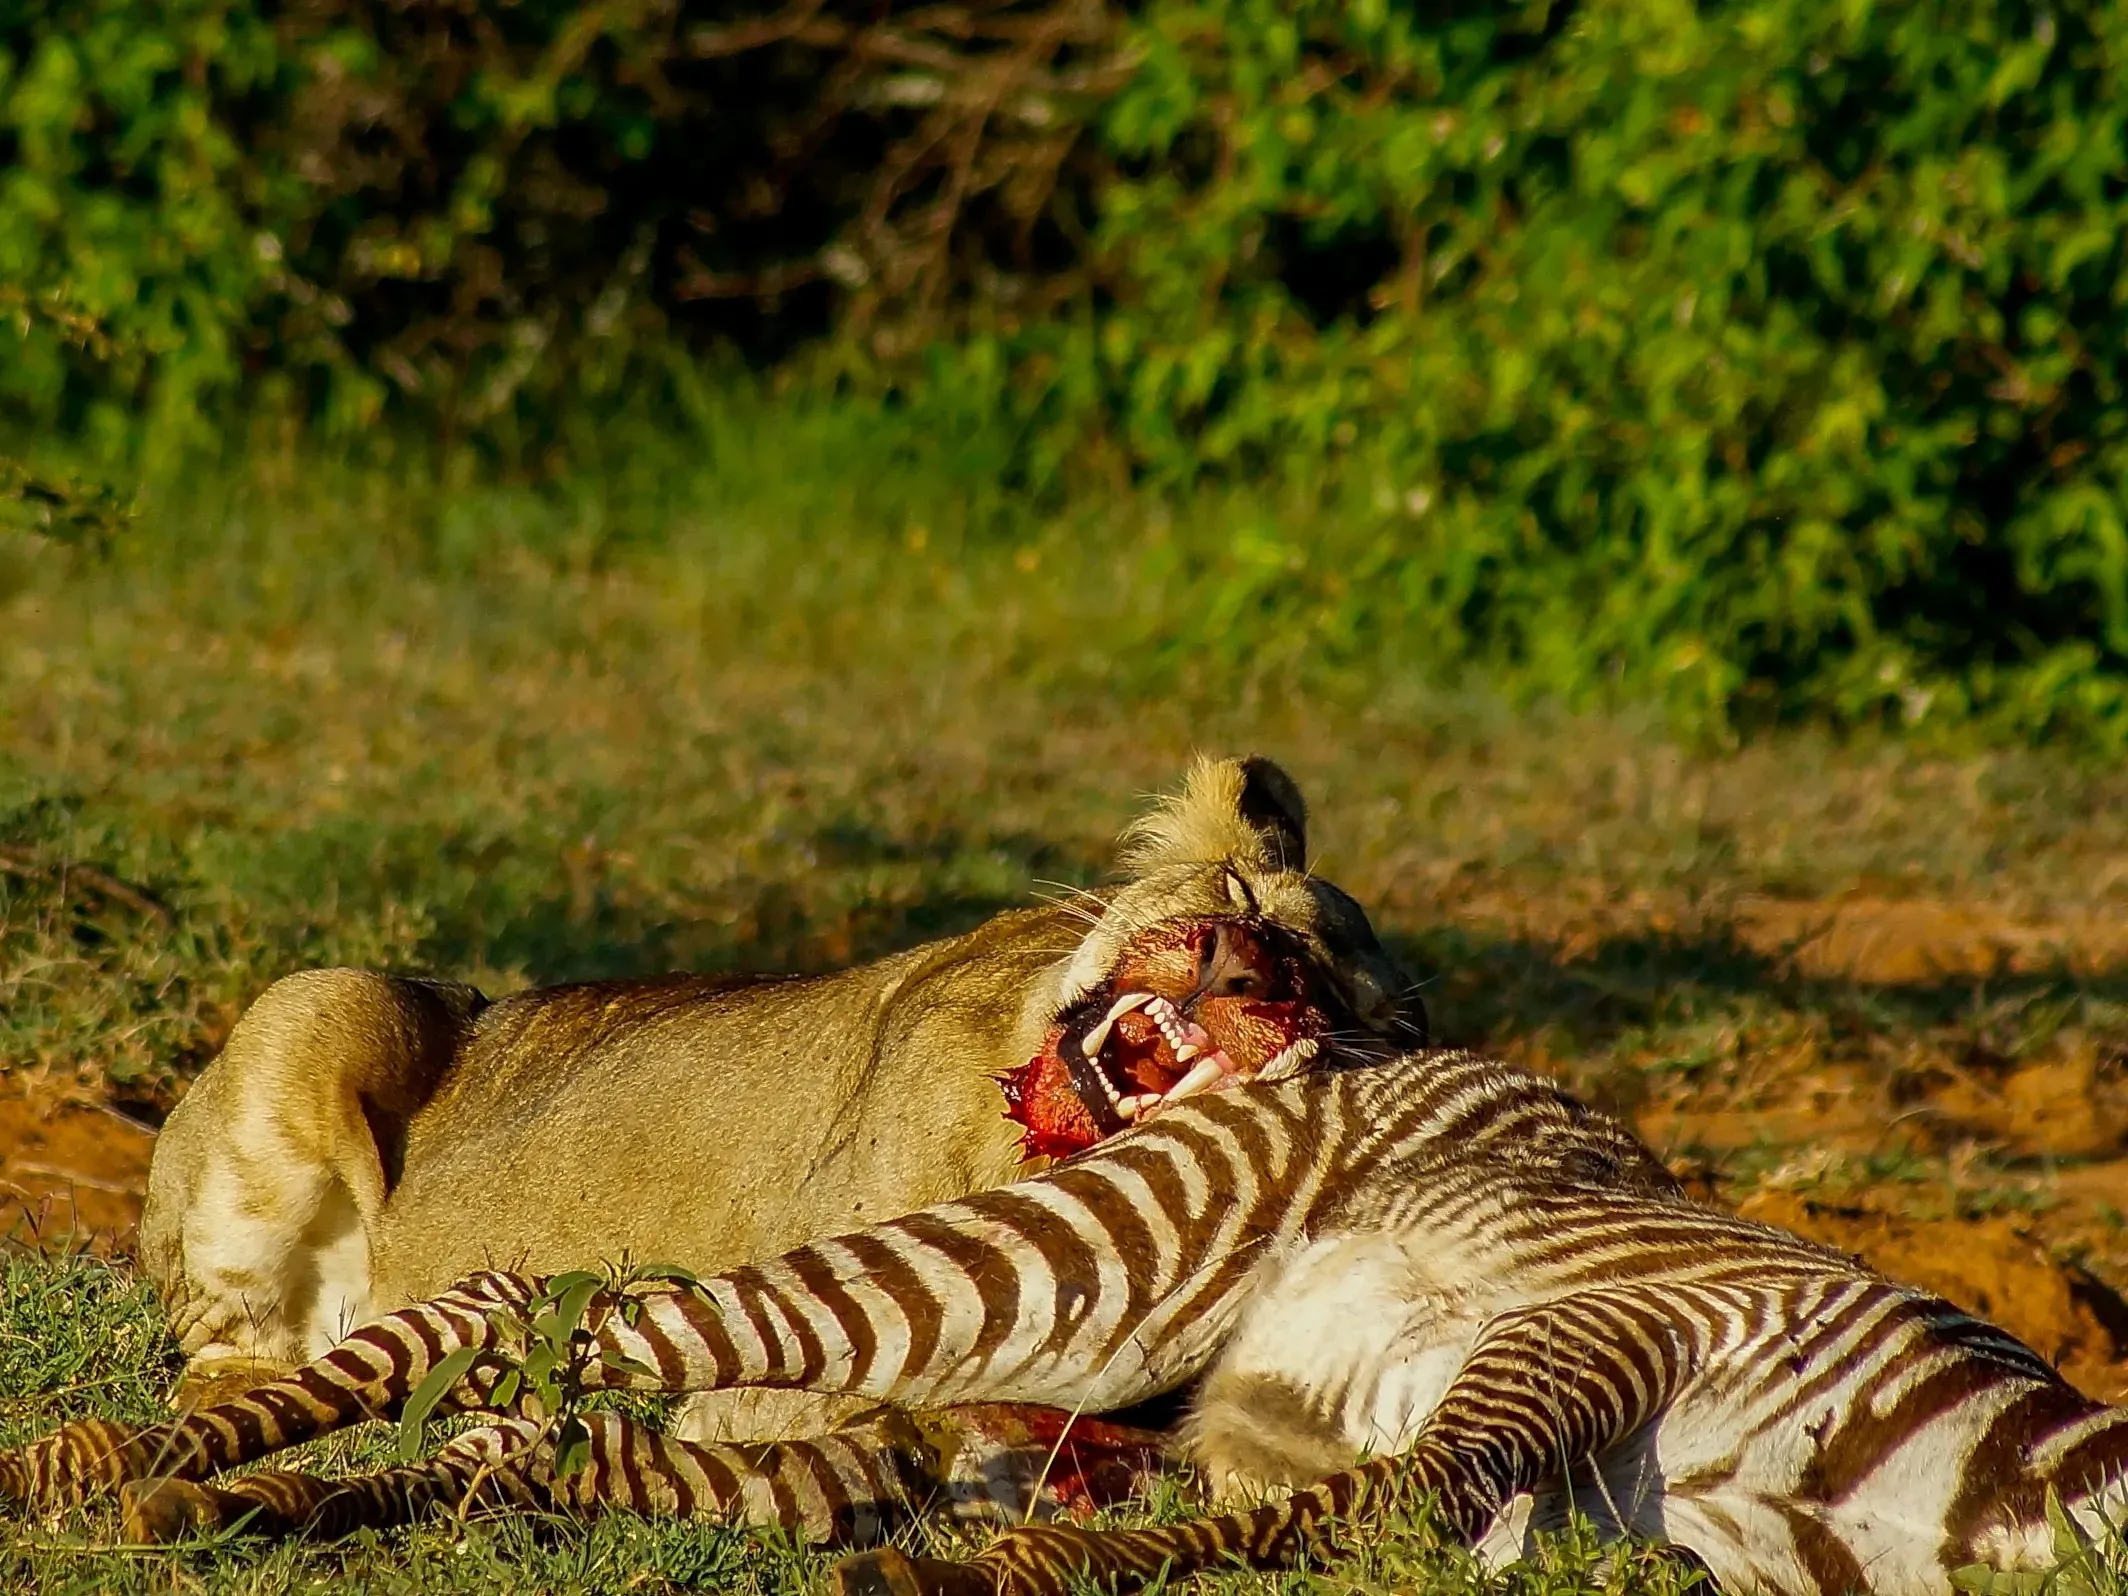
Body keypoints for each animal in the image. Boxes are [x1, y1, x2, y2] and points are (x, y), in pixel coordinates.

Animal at [5, 1048, 2125, 1596]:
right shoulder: (1610, 1339)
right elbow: (1398, 1496)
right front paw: (1014, 1582)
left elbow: (1349, 1514)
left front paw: (1004, 1571)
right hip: (1098, 1257)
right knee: (558, 1308)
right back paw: (115, 1459)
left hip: (1020, 1384)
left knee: (564, 1432)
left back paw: (257, 1505)